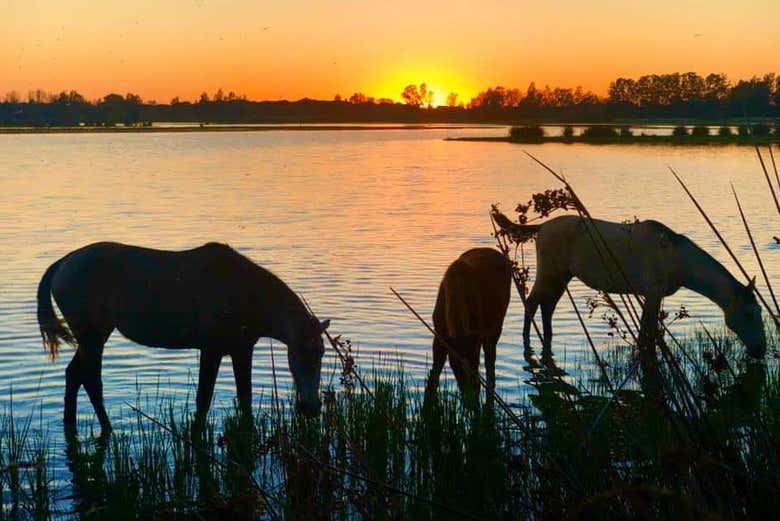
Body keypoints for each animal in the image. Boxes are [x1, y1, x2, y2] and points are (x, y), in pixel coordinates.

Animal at [36, 241, 329, 435]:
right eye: (308, 353)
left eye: (321, 354)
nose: (312, 408)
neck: (246, 293)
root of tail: (62, 264)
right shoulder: (212, 349)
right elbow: (203, 399)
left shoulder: (242, 350)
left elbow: (244, 398)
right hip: (92, 337)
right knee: (89, 379)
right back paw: (106, 427)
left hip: (93, 337)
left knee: (75, 375)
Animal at [423, 248, 513, 405]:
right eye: (456, 365)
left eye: (473, 366)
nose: (470, 400)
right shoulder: (440, 334)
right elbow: (434, 375)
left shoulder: (475, 339)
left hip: (495, 327)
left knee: (490, 364)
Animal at [492, 211, 766, 361]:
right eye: (748, 314)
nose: (760, 350)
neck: (681, 265)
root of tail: (541, 226)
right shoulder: (652, 293)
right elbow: (646, 336)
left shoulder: (653, 295)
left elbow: (648, 333)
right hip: (550, 272)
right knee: (532, 302)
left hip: (562, 275)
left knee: (546, 306)